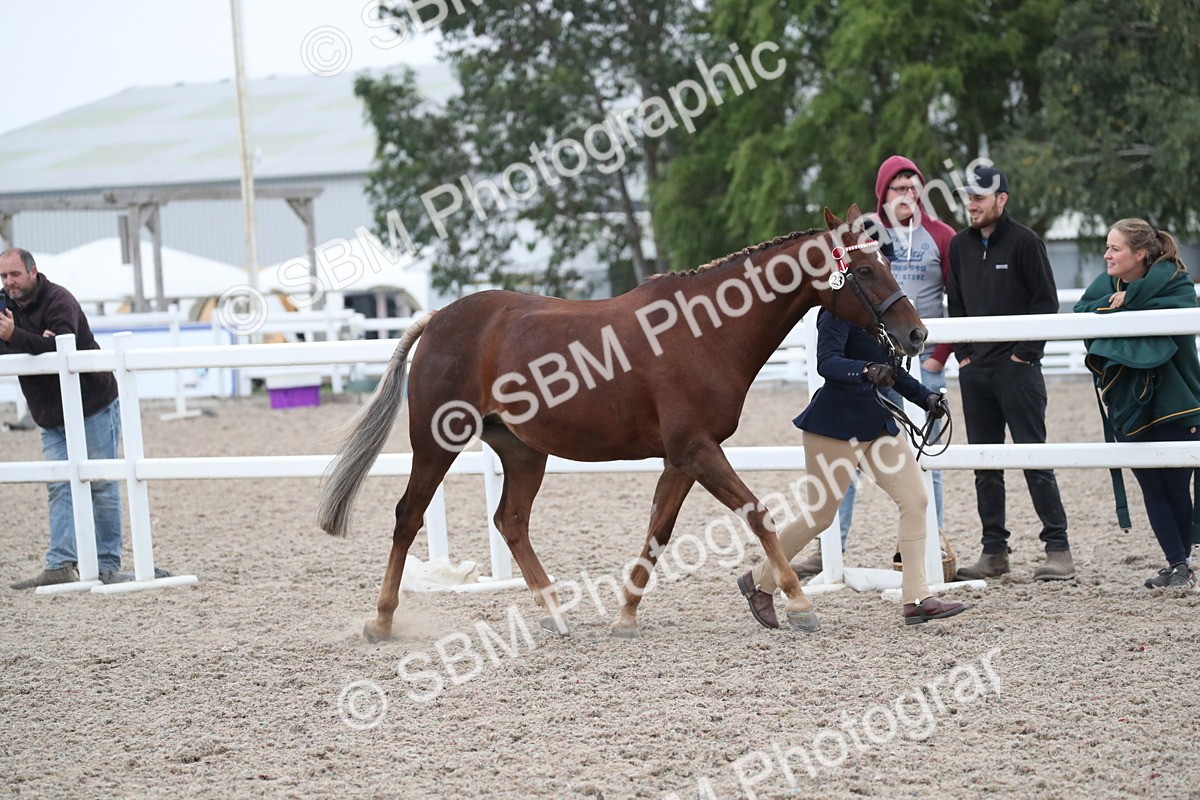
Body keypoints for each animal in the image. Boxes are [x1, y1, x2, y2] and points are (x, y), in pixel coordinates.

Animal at [317, 205, 927, 640]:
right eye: (865, 269)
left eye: (888, 263)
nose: (916, 333)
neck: (707, 331)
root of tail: (437, 318)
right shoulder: (698, 450)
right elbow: (755, 512)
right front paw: (798, 604)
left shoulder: (683, 458)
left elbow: (658, 530)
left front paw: (626, 615)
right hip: (436, 442)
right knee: (408, 516)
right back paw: (382, 621)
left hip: (522, 451)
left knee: (511, 521)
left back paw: (555, 615)